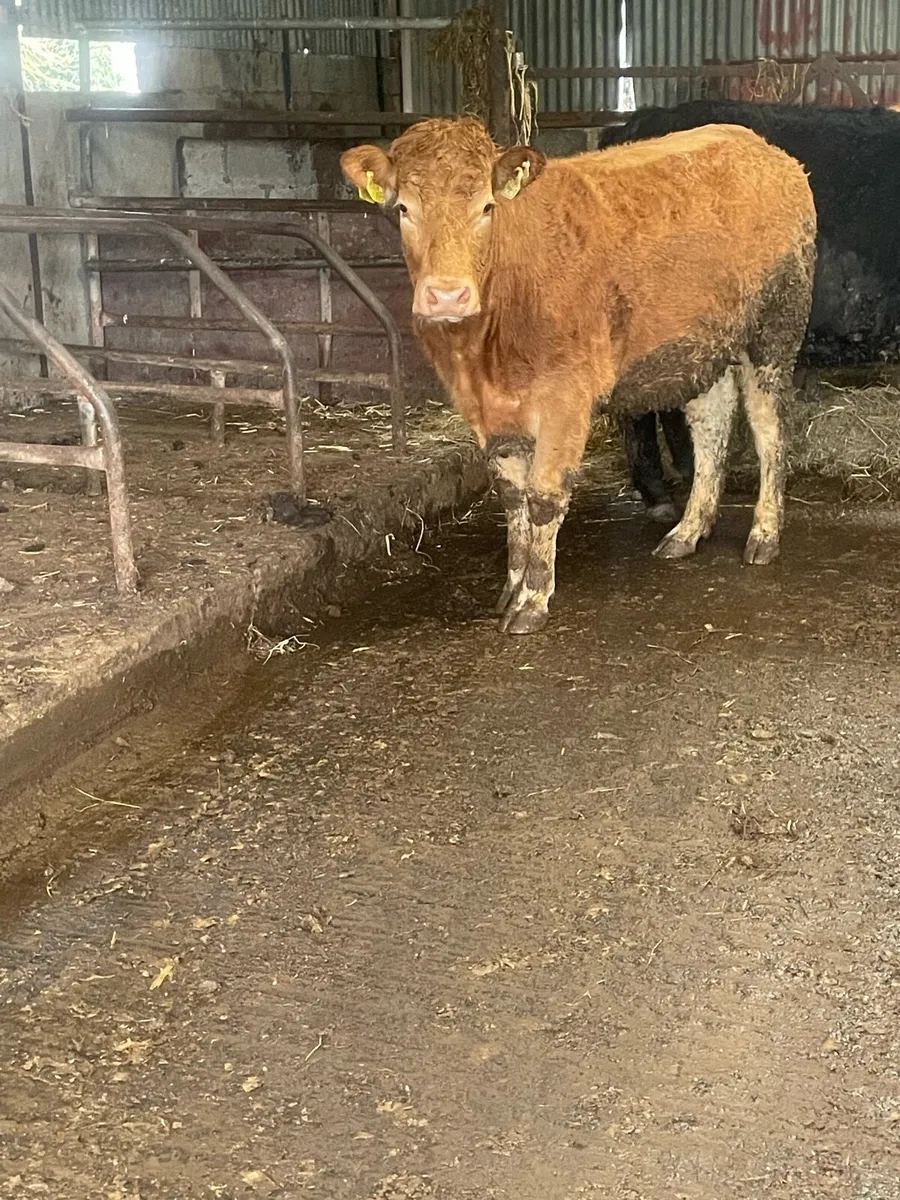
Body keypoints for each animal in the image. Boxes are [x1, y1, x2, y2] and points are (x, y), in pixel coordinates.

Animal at [341, 117, 816, 634]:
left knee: (770, 428)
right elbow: (513, 498)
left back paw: (764, 534)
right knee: (711, 423)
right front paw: (511, 588)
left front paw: (533, 600)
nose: (447, 295)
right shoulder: (485, 409)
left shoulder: (565, 397)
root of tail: (763, 148)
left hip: (775, 329)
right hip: (702, 345)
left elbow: (543, 498)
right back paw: (689, 530)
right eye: (404, 208)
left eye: (486, 206)